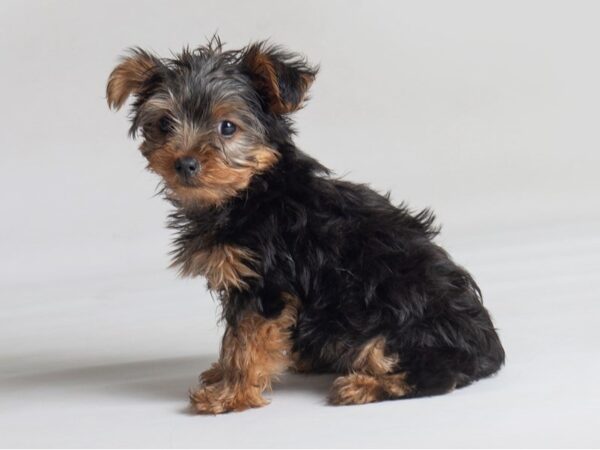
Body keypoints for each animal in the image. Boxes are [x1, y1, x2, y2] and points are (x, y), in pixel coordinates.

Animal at [108, 37, 506, 414]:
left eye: (227, 127)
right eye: (164, 124)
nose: (185, 163)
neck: (252, 191)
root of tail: (489, 349)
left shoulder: (266, 284)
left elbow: (244, 341)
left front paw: (230, 394)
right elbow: (235, 338)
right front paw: (223, 376)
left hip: (395, 323)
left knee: (435, 372)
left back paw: (364, 385)